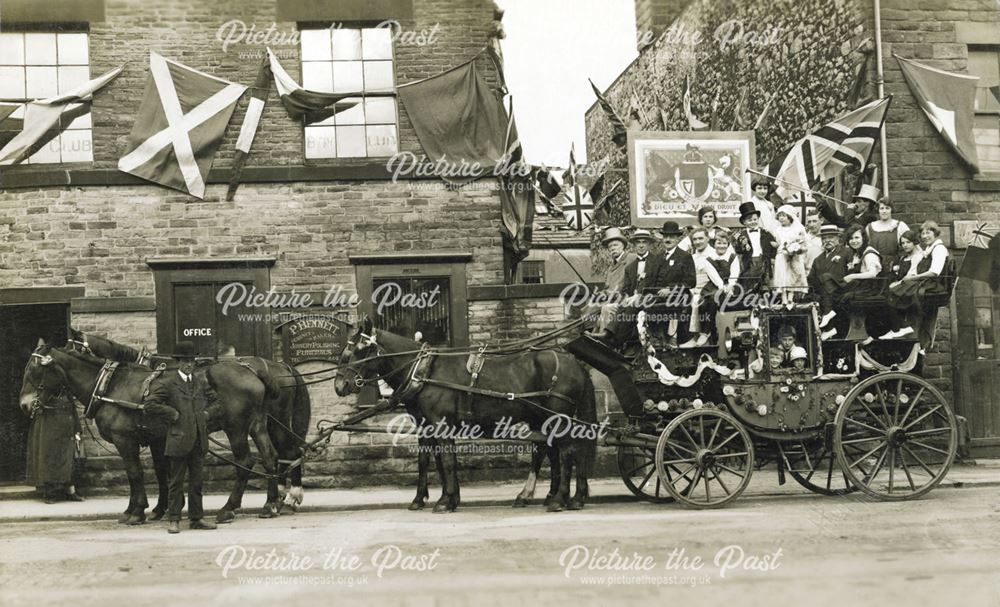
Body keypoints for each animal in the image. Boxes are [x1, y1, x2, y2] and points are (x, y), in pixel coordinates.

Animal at [19, 342, 284, 528]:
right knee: (270, 457)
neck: (111, 386)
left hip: (236, 427)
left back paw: (229, 508)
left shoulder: (125, 440)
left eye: (34, 370)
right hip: (257, 424)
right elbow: (159, 472)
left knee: (245, 462)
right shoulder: (157, 439)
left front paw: (137, 512)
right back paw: (270, 504)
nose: (24, 404)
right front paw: (153, 508)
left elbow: (135, 473)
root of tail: (252, 370)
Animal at [332, 318, 596, 512]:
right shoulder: (426, 425)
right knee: (552, 451)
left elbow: (448, 461)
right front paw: (427, 498)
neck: (424, 372)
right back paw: (561, 496)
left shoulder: (440, 423)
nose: (340, 385)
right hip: (542, 418)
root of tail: (575, 363)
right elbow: (428, 460)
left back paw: (559, 499)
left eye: (360, 350)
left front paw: (445, 501)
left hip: (558, 417)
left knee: (567, 451)